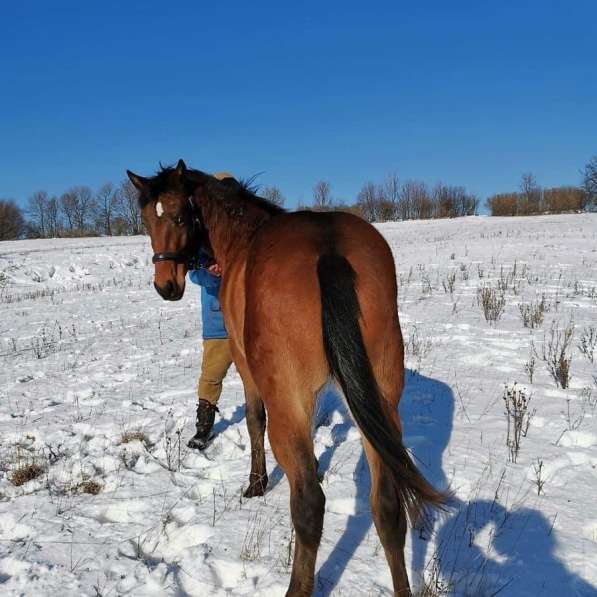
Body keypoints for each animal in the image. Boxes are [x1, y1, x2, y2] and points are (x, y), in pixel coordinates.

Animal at [127, 159, 442, 596]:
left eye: (178, 215)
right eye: (146, 220)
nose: (166, 285)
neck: (242, 238)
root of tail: (328, 250)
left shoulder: (246, 366)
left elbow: (254, 421)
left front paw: (256, 483)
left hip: (288, 402)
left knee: (310, 506)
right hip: (382, 404)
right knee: (387, 507)